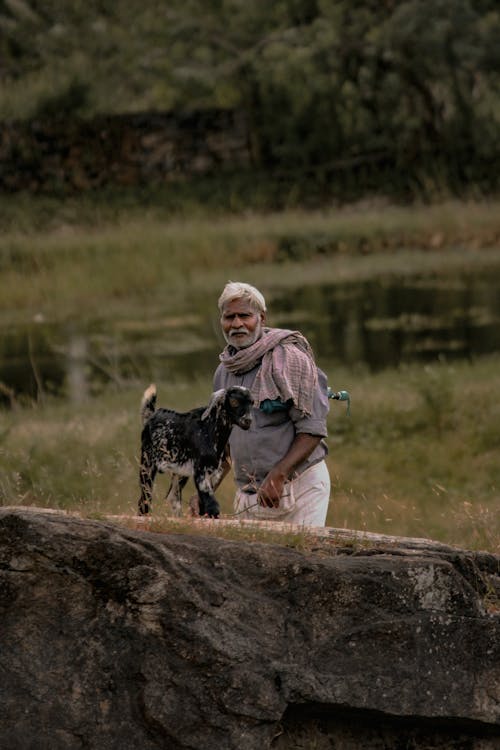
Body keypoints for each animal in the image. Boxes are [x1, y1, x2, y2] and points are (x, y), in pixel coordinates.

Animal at [138, 388, 252, 516]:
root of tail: (151, 416)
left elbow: (203, 505)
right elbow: (212, 505)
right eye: (234, 402)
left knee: (173, 497)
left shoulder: (213, 473)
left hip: (180, 472)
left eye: (252, 403)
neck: (209, 428)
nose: (248, 420)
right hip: (147, 464)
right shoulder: (201, 472)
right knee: (145, 499)